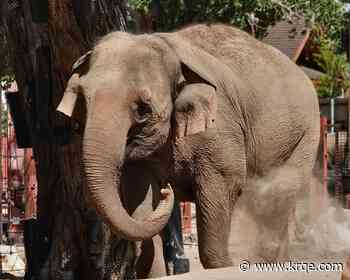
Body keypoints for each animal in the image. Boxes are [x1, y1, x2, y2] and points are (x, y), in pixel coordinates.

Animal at [56, 23, 320, 274]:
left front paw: (225, 265)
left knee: (280, 194)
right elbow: (138, 198)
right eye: (82, 100)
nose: (167, 190)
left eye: (143, 109)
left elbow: (225, 184)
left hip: (307, 134)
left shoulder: (221, 128)